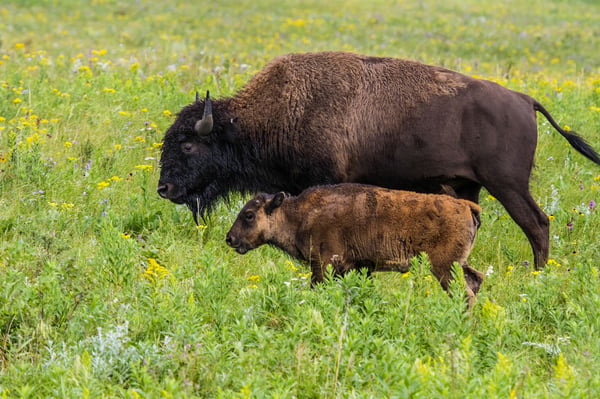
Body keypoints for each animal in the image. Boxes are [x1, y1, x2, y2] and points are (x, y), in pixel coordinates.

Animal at [156, 50, 600, 268]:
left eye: (188, 145)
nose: (164, 188)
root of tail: (525, 100)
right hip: (470, 187)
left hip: (508, 185)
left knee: (537, 224)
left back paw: (538, 273)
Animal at [227, 184, 486, 310]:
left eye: (249, 215)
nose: (229, 239)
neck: (299, 215)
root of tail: (466, 206)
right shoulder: (358, 267)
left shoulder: (323, 265)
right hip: (458, 264)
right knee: (476, 279)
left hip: (444, 267)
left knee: (466, 293)